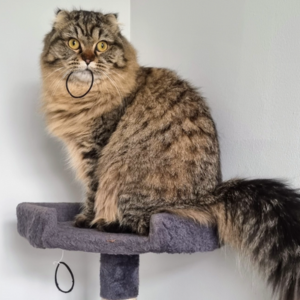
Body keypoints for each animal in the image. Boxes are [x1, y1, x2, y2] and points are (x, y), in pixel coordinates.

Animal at [41, 9, 300, 300]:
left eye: (102, 46)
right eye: (74, 43)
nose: (87, 59)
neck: (78, 97)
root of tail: (209, 194)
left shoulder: (96, 153)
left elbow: (91, 194)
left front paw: (85, 219)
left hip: (124, 179)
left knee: (142, 225)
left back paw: (106, 225)